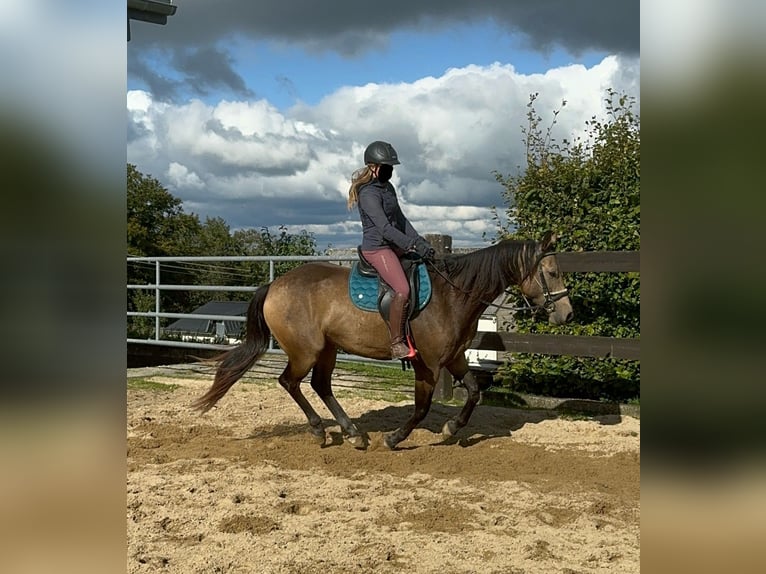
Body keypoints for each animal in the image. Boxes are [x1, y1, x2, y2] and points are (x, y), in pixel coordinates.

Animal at [195, 232, 572, 452]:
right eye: (552, 272)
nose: (567, 314)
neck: (452, 296)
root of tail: (275, 285)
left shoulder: (455, 358)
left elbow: (474, 392)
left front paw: (451, 428)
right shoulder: (427, 365)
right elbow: (421, 408)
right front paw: (395, 438)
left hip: (328, 350)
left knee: (321, 386)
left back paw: (353, 433)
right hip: (306, 351)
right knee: (290, 382)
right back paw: (320, 431)